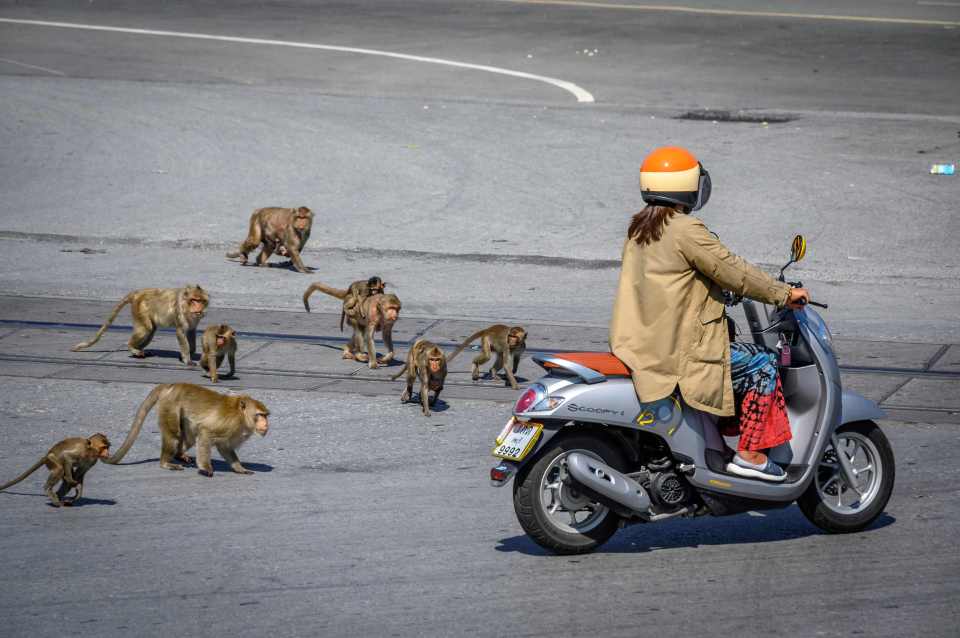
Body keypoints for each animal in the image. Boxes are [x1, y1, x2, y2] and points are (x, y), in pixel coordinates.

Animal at [70, 288, 209, 368]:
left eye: (201, 301)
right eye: (194, 300)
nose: (198, 308)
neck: (186, 305)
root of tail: (137, 293)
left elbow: (191, 331)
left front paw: (189, 353)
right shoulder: (180, 313)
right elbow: (181, 332)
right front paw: (187, 359)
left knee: (151, 330)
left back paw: (139, 350)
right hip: (140, 308)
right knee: (146, 329)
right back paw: (132, 347)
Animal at [105, 382, 268, 478]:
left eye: (266, 415)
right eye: (259, 415)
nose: (266, 424)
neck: (241, 416)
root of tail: (171, 386)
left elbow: (225, 447)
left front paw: (239, 468)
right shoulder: (227, 423)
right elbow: (205, 433)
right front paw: (205, 468)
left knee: (188, 437)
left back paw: (179, 455)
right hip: (170, 407)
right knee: (174, 436)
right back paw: (166, 462)